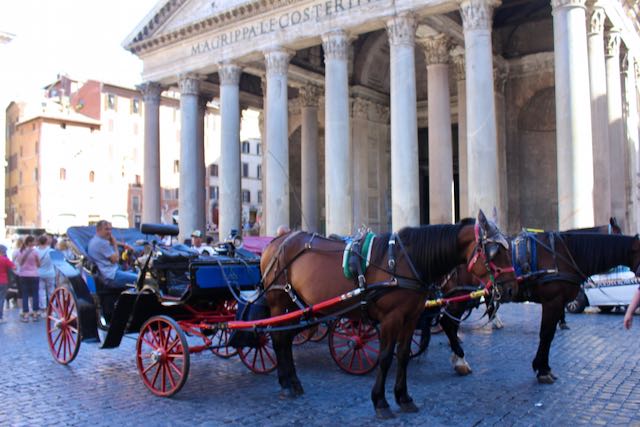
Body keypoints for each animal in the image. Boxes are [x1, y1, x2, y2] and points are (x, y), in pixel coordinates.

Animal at [260, 212, 516, 420]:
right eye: (495, 252)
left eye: (508, 249)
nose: (511, 288)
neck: (407, 261)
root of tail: (276, 242)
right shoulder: (390, 319)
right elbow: (384, 357)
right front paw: (381, 402)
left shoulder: (410, 317)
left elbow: (402, 355)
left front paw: (404, 398)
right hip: (278, 301)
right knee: (277, 338)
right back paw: (286, 384)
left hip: (298, 306)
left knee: (286, 339)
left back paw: (292, 382)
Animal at [432, 224, 636, 384]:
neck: (565, 252)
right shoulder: (553, 300)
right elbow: (546, 334)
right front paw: (543, 369)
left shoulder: (558, 301)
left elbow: (550, 331)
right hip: (461, 295)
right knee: (447, 322)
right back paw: (460, 359)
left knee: (451, 322)